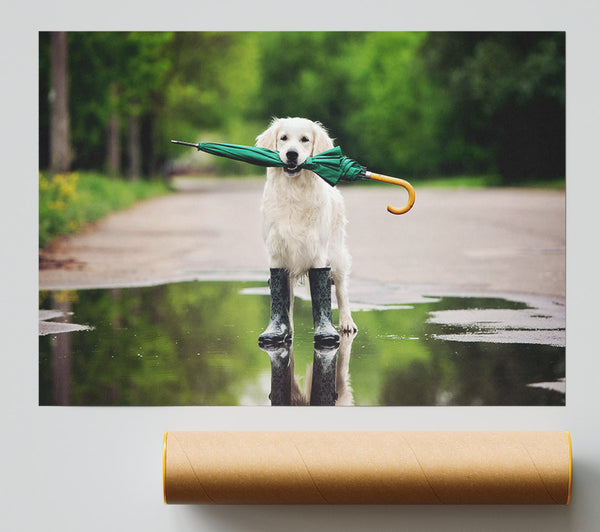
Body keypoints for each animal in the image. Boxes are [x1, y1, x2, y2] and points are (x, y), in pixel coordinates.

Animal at [256, 116, 358, 342]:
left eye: (305, 139)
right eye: (283, 138)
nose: (291, 154)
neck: (294, 191)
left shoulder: (317, 251)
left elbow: (324, 289)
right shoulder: (277, 252)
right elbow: (282, 296)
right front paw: (280, 330)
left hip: (336, 253)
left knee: (341, 289)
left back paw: (346, 323)